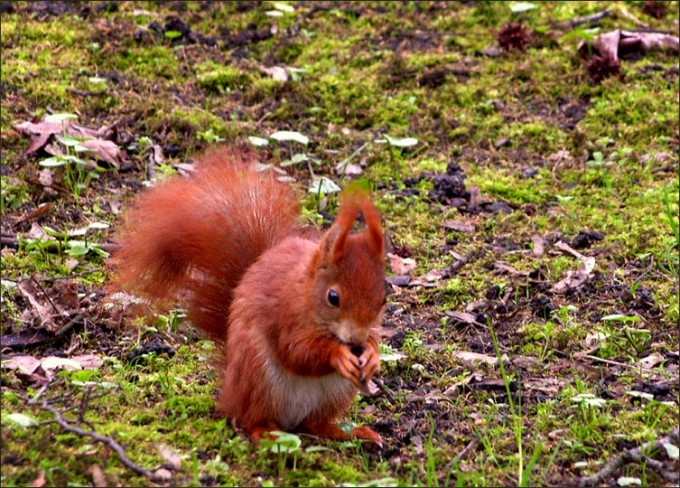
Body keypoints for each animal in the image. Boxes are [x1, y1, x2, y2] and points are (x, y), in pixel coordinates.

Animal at [111, 145, 386, 446]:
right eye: (333, 297)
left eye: (383, 298)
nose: (356, 343)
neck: (306, 293)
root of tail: (230, 392)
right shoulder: (284, 314)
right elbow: (296, 351)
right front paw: (338, 354)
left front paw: (372, 354)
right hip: (258, 377)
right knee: (250, 419)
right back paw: (265, 432)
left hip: (334, 393)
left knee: (316, 424)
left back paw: (350, 432)